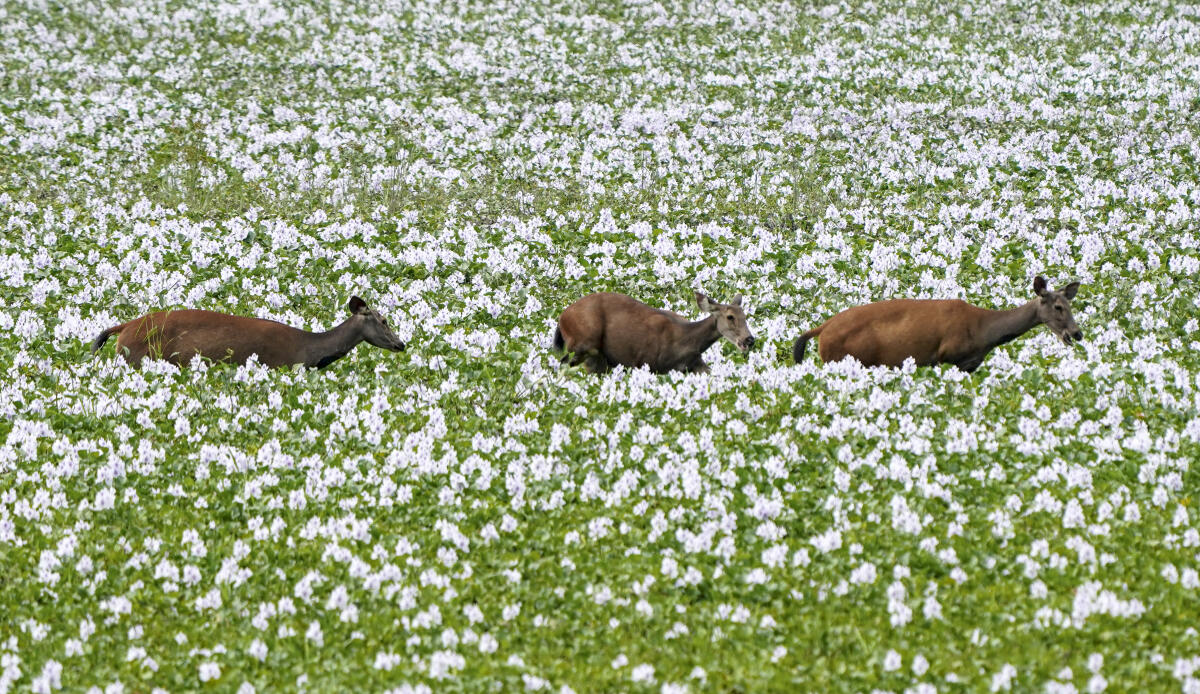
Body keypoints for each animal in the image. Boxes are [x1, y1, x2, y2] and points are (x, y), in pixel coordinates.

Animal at [552, 290, 755, 374]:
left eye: (745, 315)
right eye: (730, 316)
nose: (749, 339)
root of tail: (562, 318)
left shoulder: (694, 364)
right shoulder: (645, 362)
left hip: (596, 357)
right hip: (583, 343)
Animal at [792, 276, 1082, 372]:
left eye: (1071, 306)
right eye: (1058, 307)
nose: (1077, 333)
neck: (983, 333)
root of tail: (821, 330)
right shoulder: (947, 356)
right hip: (840, 359)